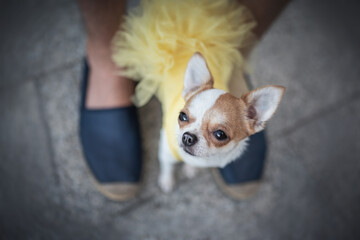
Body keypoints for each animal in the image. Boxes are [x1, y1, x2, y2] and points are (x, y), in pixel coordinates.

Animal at [158, 53, 284, 192]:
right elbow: (167, 167)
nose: (187, 137)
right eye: (182, 116)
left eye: (220, 134)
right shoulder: (165, 151)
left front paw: (191, 168)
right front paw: (167, 181)